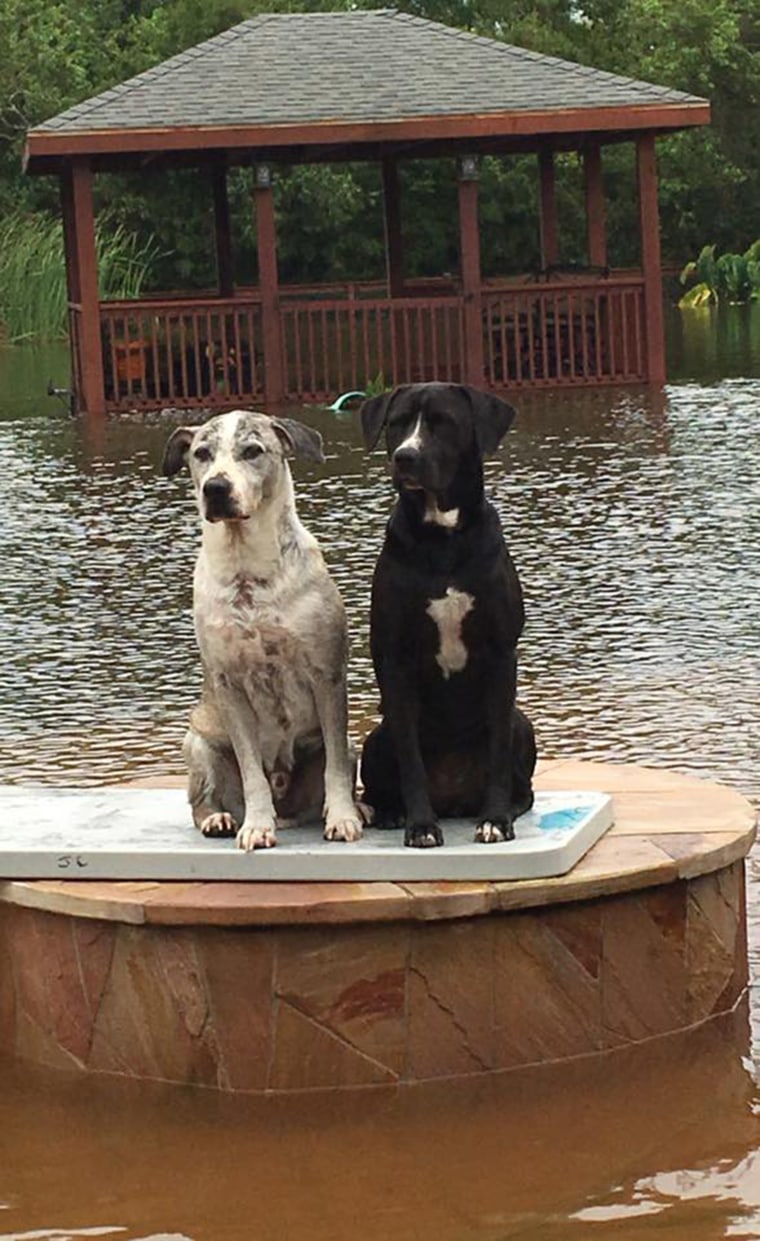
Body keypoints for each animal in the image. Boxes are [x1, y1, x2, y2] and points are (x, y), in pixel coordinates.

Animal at [161, 412, 362, 848]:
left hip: (352, 741)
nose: (215, 488)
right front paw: (256, 826)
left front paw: (343, 819)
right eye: (201, 454)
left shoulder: (327, 676)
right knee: (204, 800)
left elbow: (336, 768)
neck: (248, 574)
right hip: (197, 745)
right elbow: (252, 772)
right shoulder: (229, 685)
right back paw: (219, 819)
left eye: (253, 451)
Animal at [360, 379, 533, 843]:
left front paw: (495, 819)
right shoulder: (396, 660)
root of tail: (455, 801)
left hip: (523, 724)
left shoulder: (501, 652)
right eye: (398, 423)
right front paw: (420, 825)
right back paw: (392, 813)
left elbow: (497, 752)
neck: (443, 538)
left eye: (443, 423)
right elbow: (411, 760)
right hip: (374, 738)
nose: (406, 456)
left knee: (522, 782)